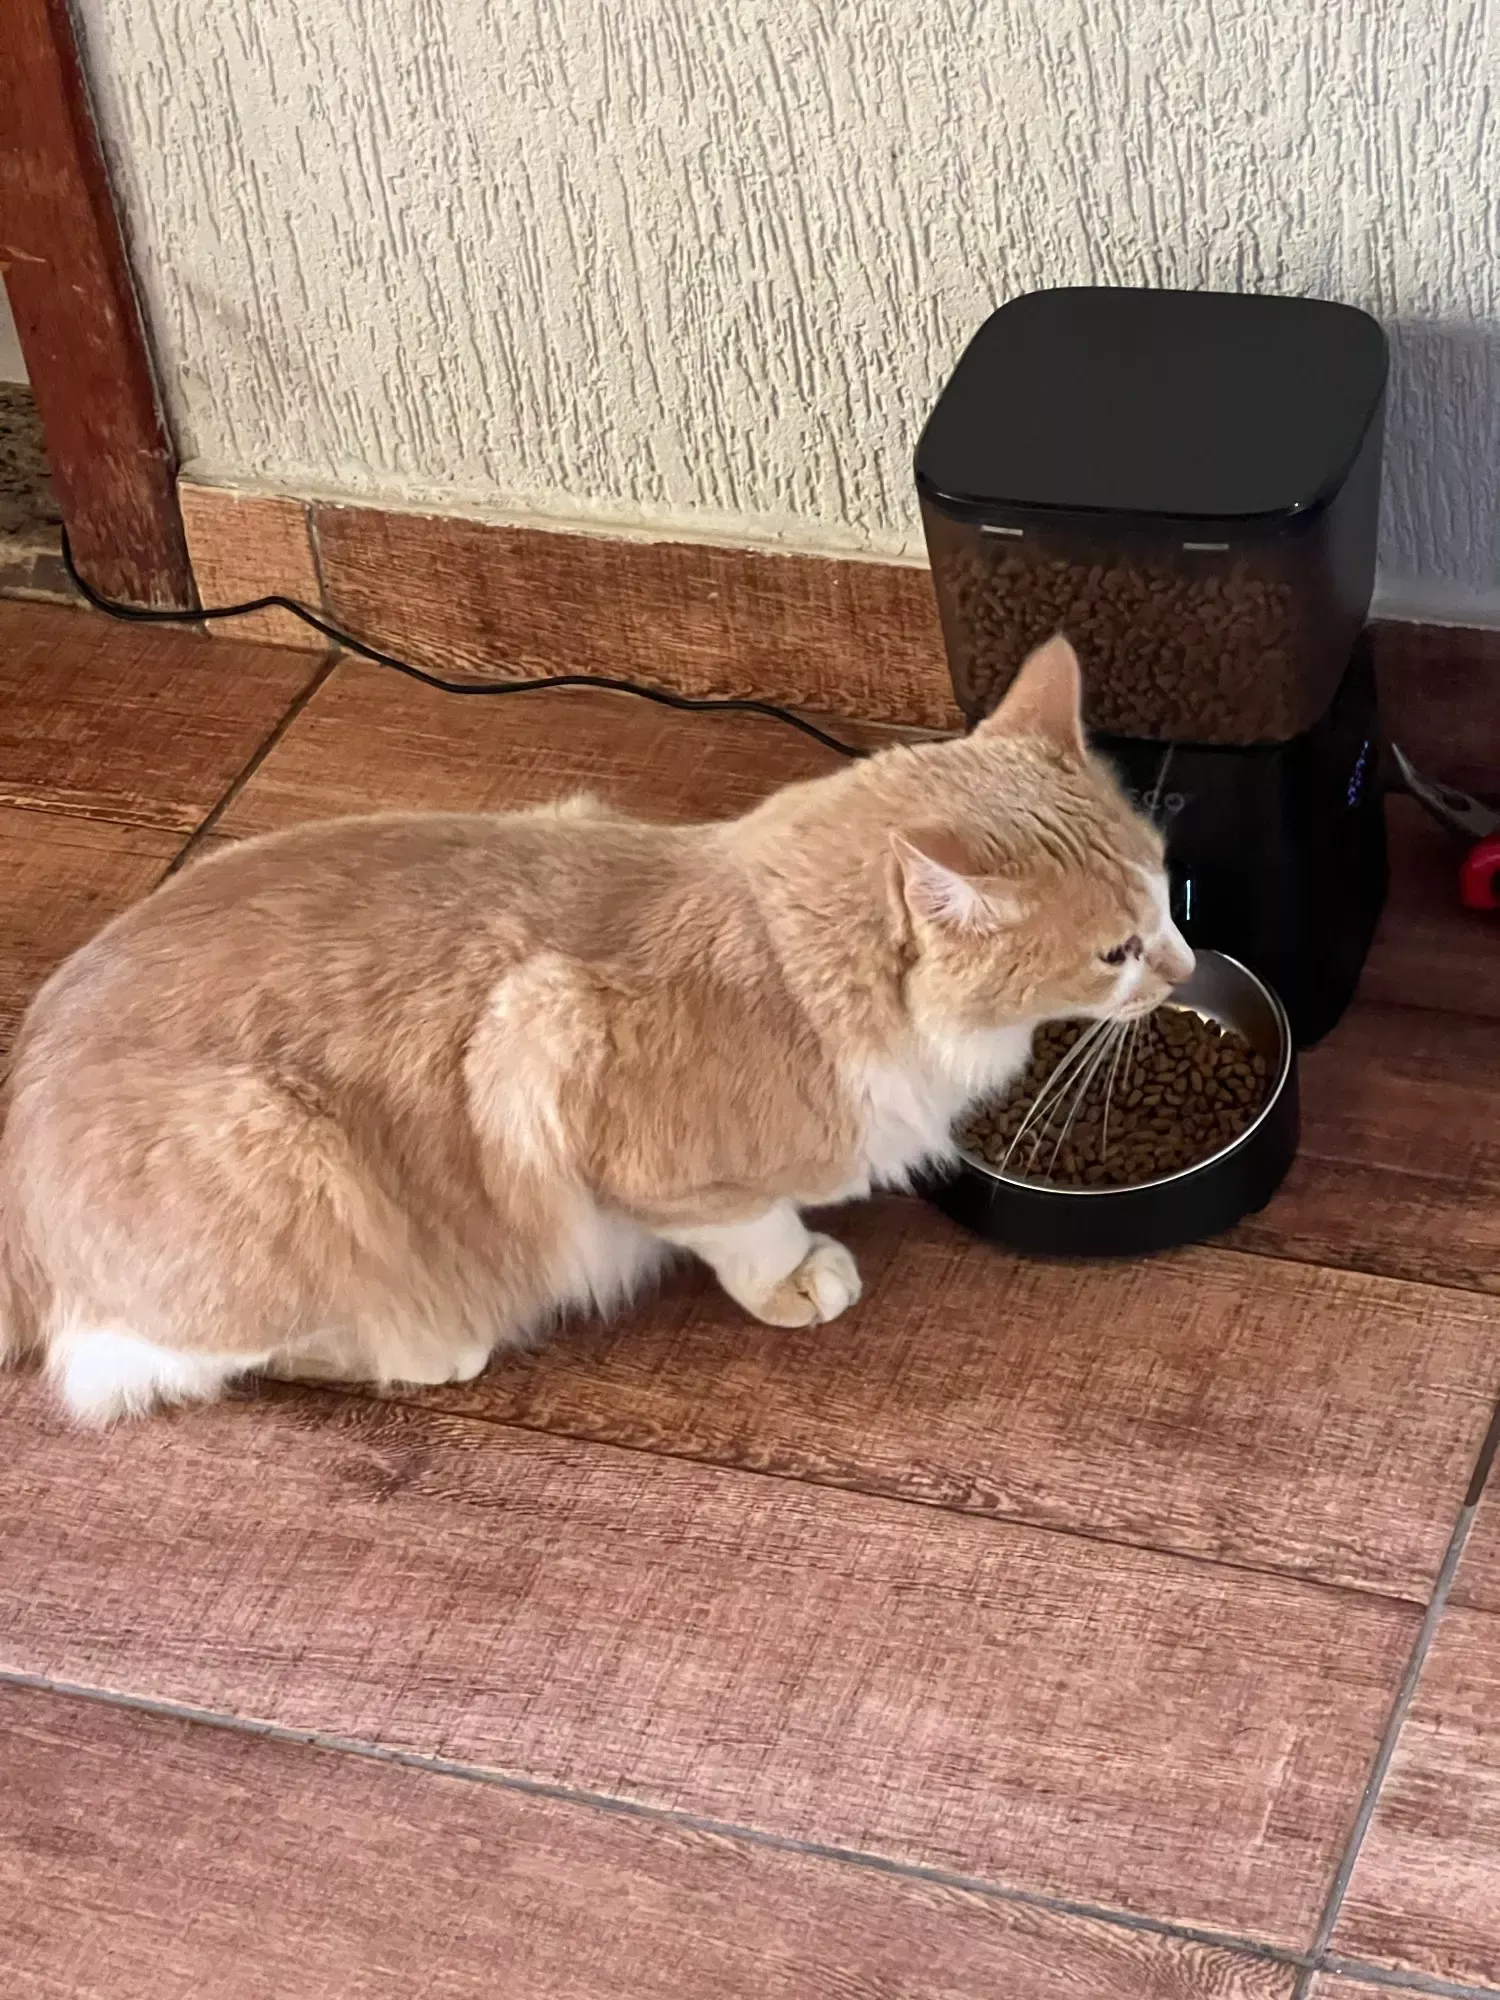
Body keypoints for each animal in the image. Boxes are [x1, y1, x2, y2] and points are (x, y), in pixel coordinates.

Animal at [0, 633, 1191, 1424]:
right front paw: (799, 1275)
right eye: (1115, 952)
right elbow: (750, 1228)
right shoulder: (561, 1053)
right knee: (173, 1361)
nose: (1184, 970)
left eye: (1171, 890)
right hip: (290, 1160)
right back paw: (427, 1343)